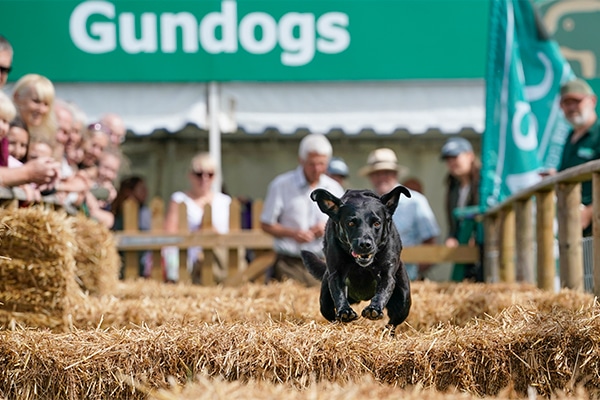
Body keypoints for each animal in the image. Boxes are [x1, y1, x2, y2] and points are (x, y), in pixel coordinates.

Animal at [300, 187, 412, 332]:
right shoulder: (336, 273)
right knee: (332, 316)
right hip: (325, 299)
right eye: (351, 223)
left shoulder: (386, 273)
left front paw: (374, 309)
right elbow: (339, 293)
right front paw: (345, 311)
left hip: (403, 300)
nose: (364, 244)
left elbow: (383, 291)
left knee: (391, 324)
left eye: (377, 223)